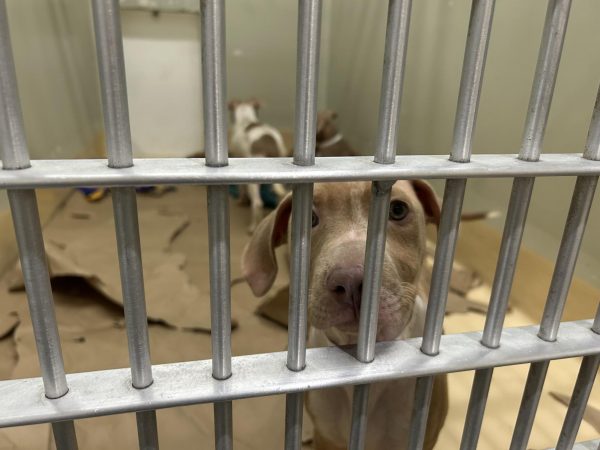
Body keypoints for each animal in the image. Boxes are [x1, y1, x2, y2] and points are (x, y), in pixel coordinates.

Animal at [227, 98, 288, 232]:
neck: (246, 118)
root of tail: (271, 148)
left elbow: (241, 188)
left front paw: (241, 200)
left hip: (253, 181)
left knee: (257, 203)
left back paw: (253, 227)